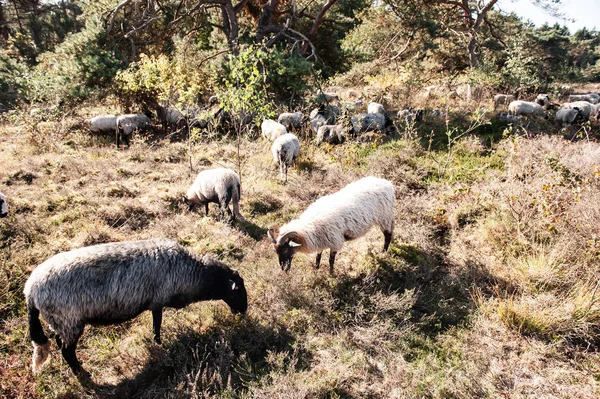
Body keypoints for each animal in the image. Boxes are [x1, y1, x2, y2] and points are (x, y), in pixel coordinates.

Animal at [23, 239, 247, 376]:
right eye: (237, 291)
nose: (244, 311)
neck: (190, 273)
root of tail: (30, 291)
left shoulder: (156, 302)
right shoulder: (157, 302)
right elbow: (157, 325)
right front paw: (159, 343)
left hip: (60, 322)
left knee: (59, 341)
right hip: (69, 321)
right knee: (67, 350)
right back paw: (81, 372)